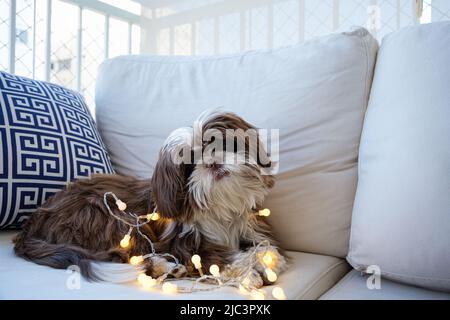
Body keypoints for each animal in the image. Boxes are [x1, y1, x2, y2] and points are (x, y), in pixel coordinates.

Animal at [14, 111, 288, 288]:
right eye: (189, 164)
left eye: (219, 143)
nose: (211, 162)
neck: (220, 210)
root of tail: (32, 224)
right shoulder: (183, 244)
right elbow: (215, 258)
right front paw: (247, 272)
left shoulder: (252, 228)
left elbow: (266, 247)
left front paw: (266, 260)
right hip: (107, 214)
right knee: (118, 255)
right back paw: (164, 267)